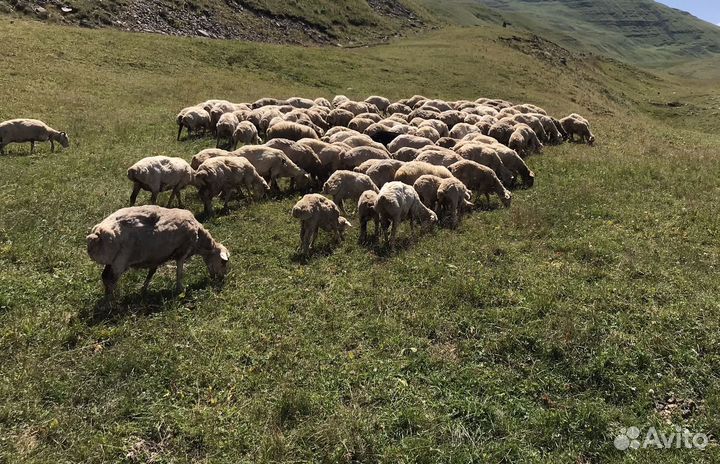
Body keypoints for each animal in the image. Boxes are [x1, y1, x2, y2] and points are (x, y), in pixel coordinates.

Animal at [86, 205, 229, 298]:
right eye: (223, 262)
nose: (222, 278)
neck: (200, 240)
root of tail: (97, 234)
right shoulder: (182, 251)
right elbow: (179, 273)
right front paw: (180, 289)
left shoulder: (156, 256)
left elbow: (151, 272)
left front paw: (143, 290)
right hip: (121, 260)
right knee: (111, 280)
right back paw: (115, 300)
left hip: (113, 260)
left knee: (105, 277)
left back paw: (107, 299)